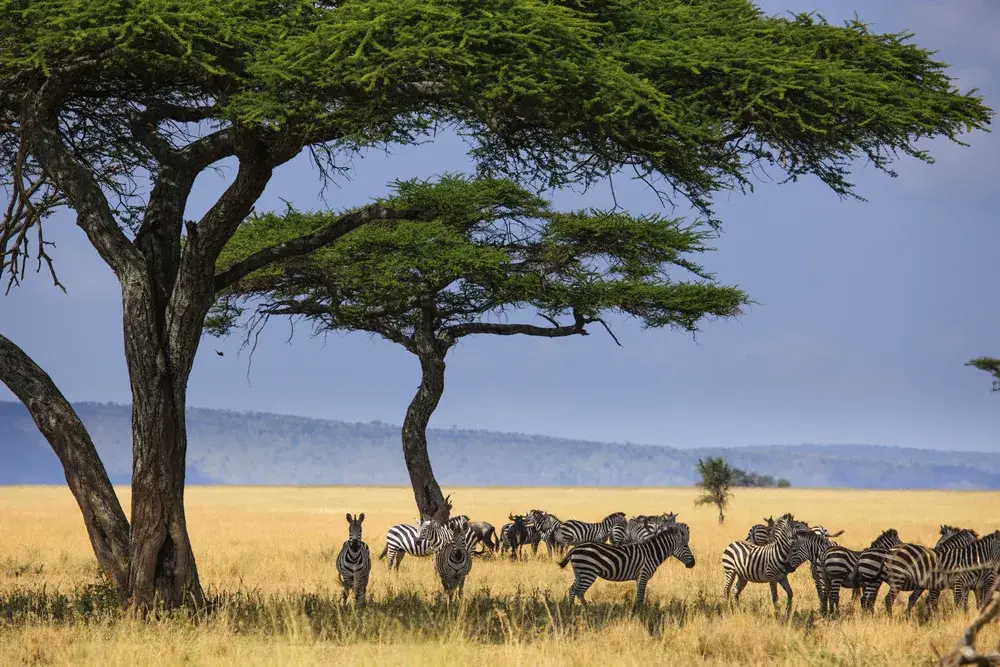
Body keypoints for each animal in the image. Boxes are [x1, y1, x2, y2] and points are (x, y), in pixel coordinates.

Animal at [564, 520, 696, 612]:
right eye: (685, 545)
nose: (693, 564)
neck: (652, 553)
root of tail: (576, 548)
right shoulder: (643, 574)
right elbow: (641, 595)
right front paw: (640, 613)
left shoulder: (639, 577)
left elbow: (639, 595)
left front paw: (636, 610)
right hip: (588, 572)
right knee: (579, 591)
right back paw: (588, 610)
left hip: (579, 572)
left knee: (572, 589)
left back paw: (571, 609)